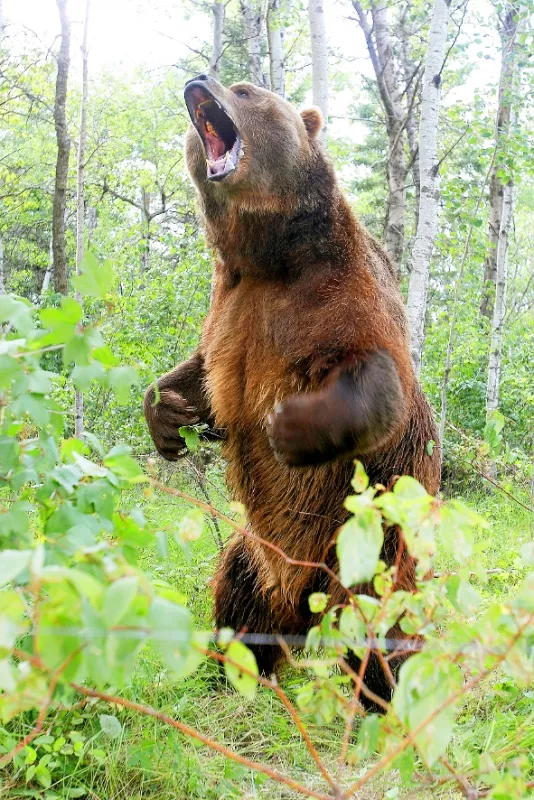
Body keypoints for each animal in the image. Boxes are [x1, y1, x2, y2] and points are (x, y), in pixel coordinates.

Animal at [144, 74, 441, 707]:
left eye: (244, 89)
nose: (197, 79)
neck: (268, 255)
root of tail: (303, 607)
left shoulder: (340, 292)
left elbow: (378, 381)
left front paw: (289, 428)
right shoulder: (230, 308)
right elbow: (201, 375)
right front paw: (168, 420)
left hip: (368, 548)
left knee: (376, 625)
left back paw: (380, 695)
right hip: (259, 552)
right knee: (237, 590)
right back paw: (233, 671)